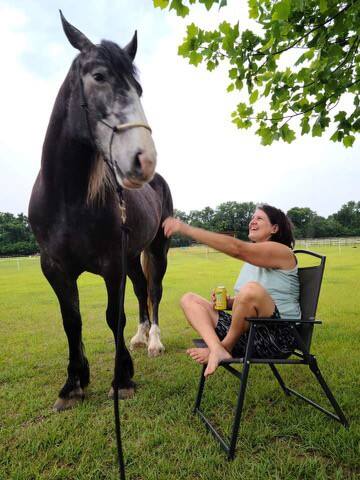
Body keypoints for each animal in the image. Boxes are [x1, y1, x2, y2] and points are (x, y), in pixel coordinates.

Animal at [28, 13, 172, 410]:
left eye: (139, 90)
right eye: (99, 76)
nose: (144, 159)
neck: (69, 199)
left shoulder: (111, 264)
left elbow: (113, 317)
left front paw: (121, 379)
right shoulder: (54, 268)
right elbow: (71, 321)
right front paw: (73, 383)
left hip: (156, 249)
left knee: (154, 290)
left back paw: (154, 341)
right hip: (133, 254)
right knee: (141, 290)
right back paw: (140, 338)